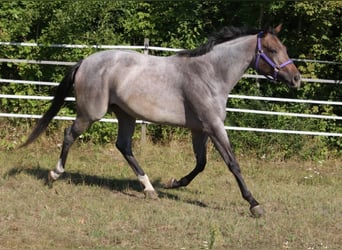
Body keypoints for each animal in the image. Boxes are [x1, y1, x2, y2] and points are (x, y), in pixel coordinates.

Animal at [20, 24, 300, 218]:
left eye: (285, 48)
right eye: (272, 50)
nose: (296, 79)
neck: (209, 73)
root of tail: (84, 62)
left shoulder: (199, 130)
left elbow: (201, 164)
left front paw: (174, 183)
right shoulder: (213, 126)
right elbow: (233, 164)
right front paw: (254, 204)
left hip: (126, 115)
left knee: (124, 146)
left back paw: (149, 189)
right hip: (91, 114)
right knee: (70, 134)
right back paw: (54, 174)